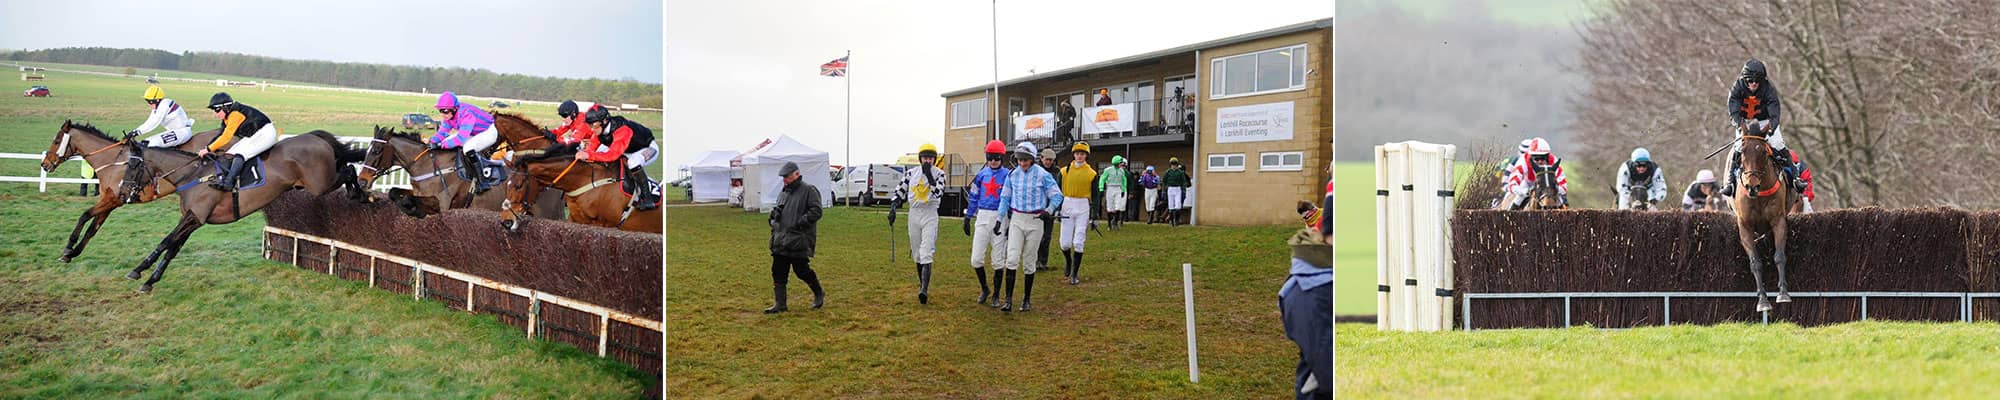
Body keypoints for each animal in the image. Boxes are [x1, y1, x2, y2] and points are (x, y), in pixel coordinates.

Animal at [37, 120, 221, 264]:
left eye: (56, 140)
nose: (44, 164)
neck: (113, 161)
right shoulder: (110, 202)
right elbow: (92, 228)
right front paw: (73, 253)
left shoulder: (113, 200)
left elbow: (84, 216)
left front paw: (68, 249)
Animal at [118, 133, 368, 292]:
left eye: (132, 165)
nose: (122, 193)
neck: (193, 175)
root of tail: (317, 138)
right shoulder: (193, 219)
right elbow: (172, 249)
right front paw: (150, 280)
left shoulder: (194, 216)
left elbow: (165, 242)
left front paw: (138, 271)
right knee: (347, 167)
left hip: (320, 184)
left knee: (349, 169)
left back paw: (360, 194)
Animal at [1728, 134, 1808, 312]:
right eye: (1741, 155)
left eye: (1764, 153)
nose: (1752, 186)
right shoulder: (1745, 225)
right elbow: (1755, 263)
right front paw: (1763, 301)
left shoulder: (1778, 220)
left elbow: (1779, 256)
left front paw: (1783, 294)